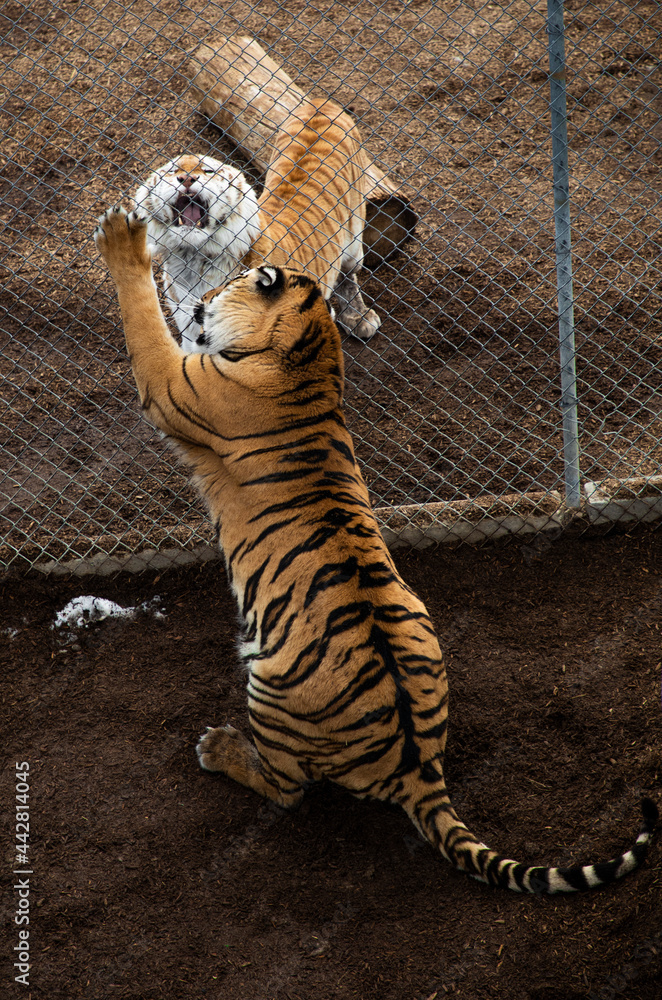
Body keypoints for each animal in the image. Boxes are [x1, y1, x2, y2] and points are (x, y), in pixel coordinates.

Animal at [93, 207, 660, 896]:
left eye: (227, 288)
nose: (201, 303)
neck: (309, 352)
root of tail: (418, 769)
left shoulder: (172, 383)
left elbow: (144, 324)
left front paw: (123, 238)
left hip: (268, 684)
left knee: (286, 789)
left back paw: (220, 748)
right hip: (418, 622)